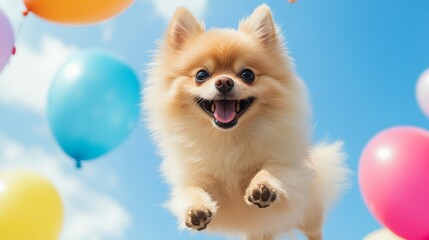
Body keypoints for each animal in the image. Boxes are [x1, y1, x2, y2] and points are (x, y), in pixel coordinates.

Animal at [144, 3, 348, 240]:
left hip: (310, 216)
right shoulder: (197, 178)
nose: (224, 82)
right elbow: (191, 190)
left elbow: (273, 169)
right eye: (201, 75)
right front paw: (195, 208)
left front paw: (263, 184)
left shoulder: (287, 167)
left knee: (314, 230)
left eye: (247, 74)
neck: (228, 138)